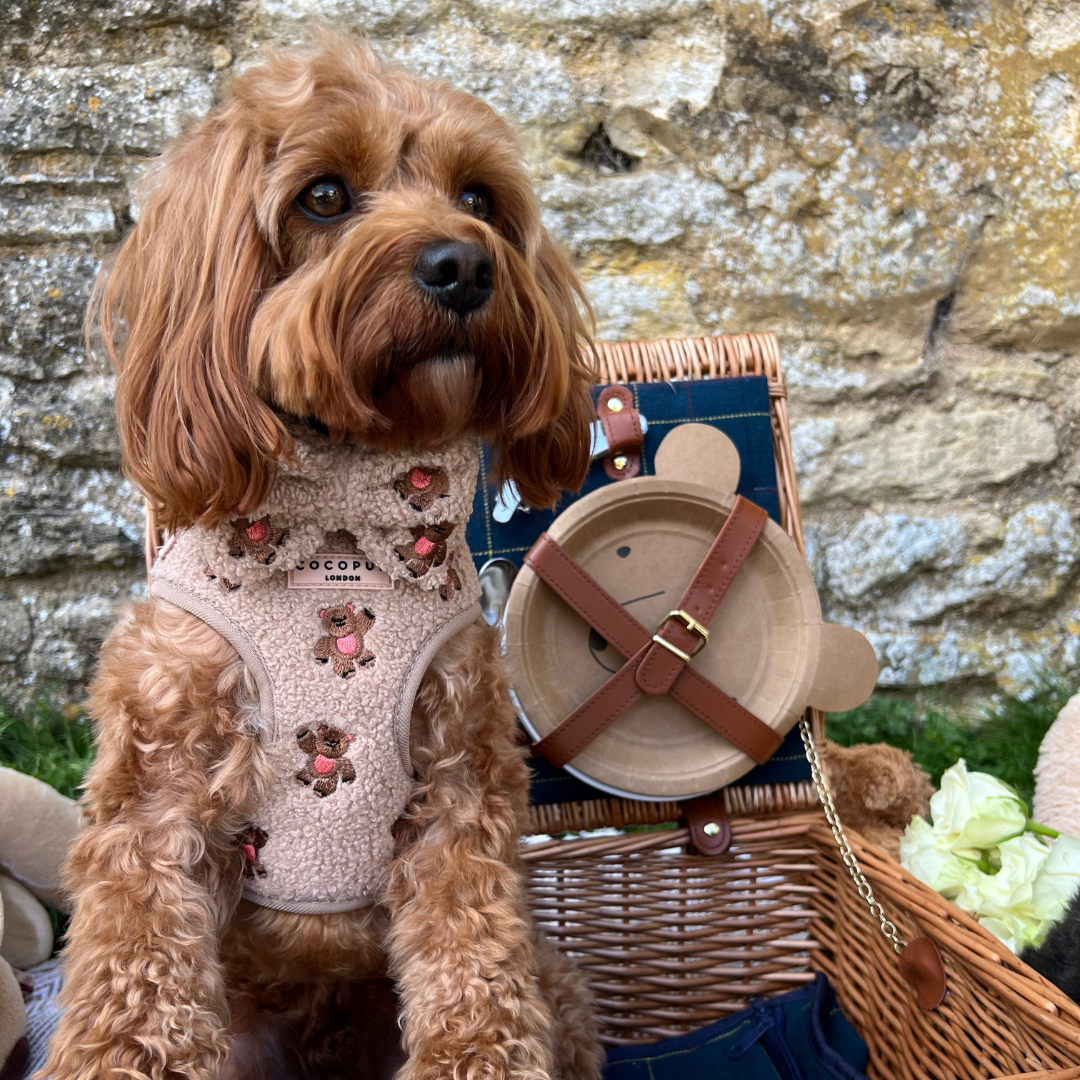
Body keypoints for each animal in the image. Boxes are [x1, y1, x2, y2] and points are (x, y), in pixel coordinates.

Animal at [44, 31, 600, 1080]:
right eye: (326, 196)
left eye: (481, 199)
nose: (464, 265)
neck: (340, 527)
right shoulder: (153, 799)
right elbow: (135, 972)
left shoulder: (460, 793)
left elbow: (475, 968)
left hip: (560, 984)